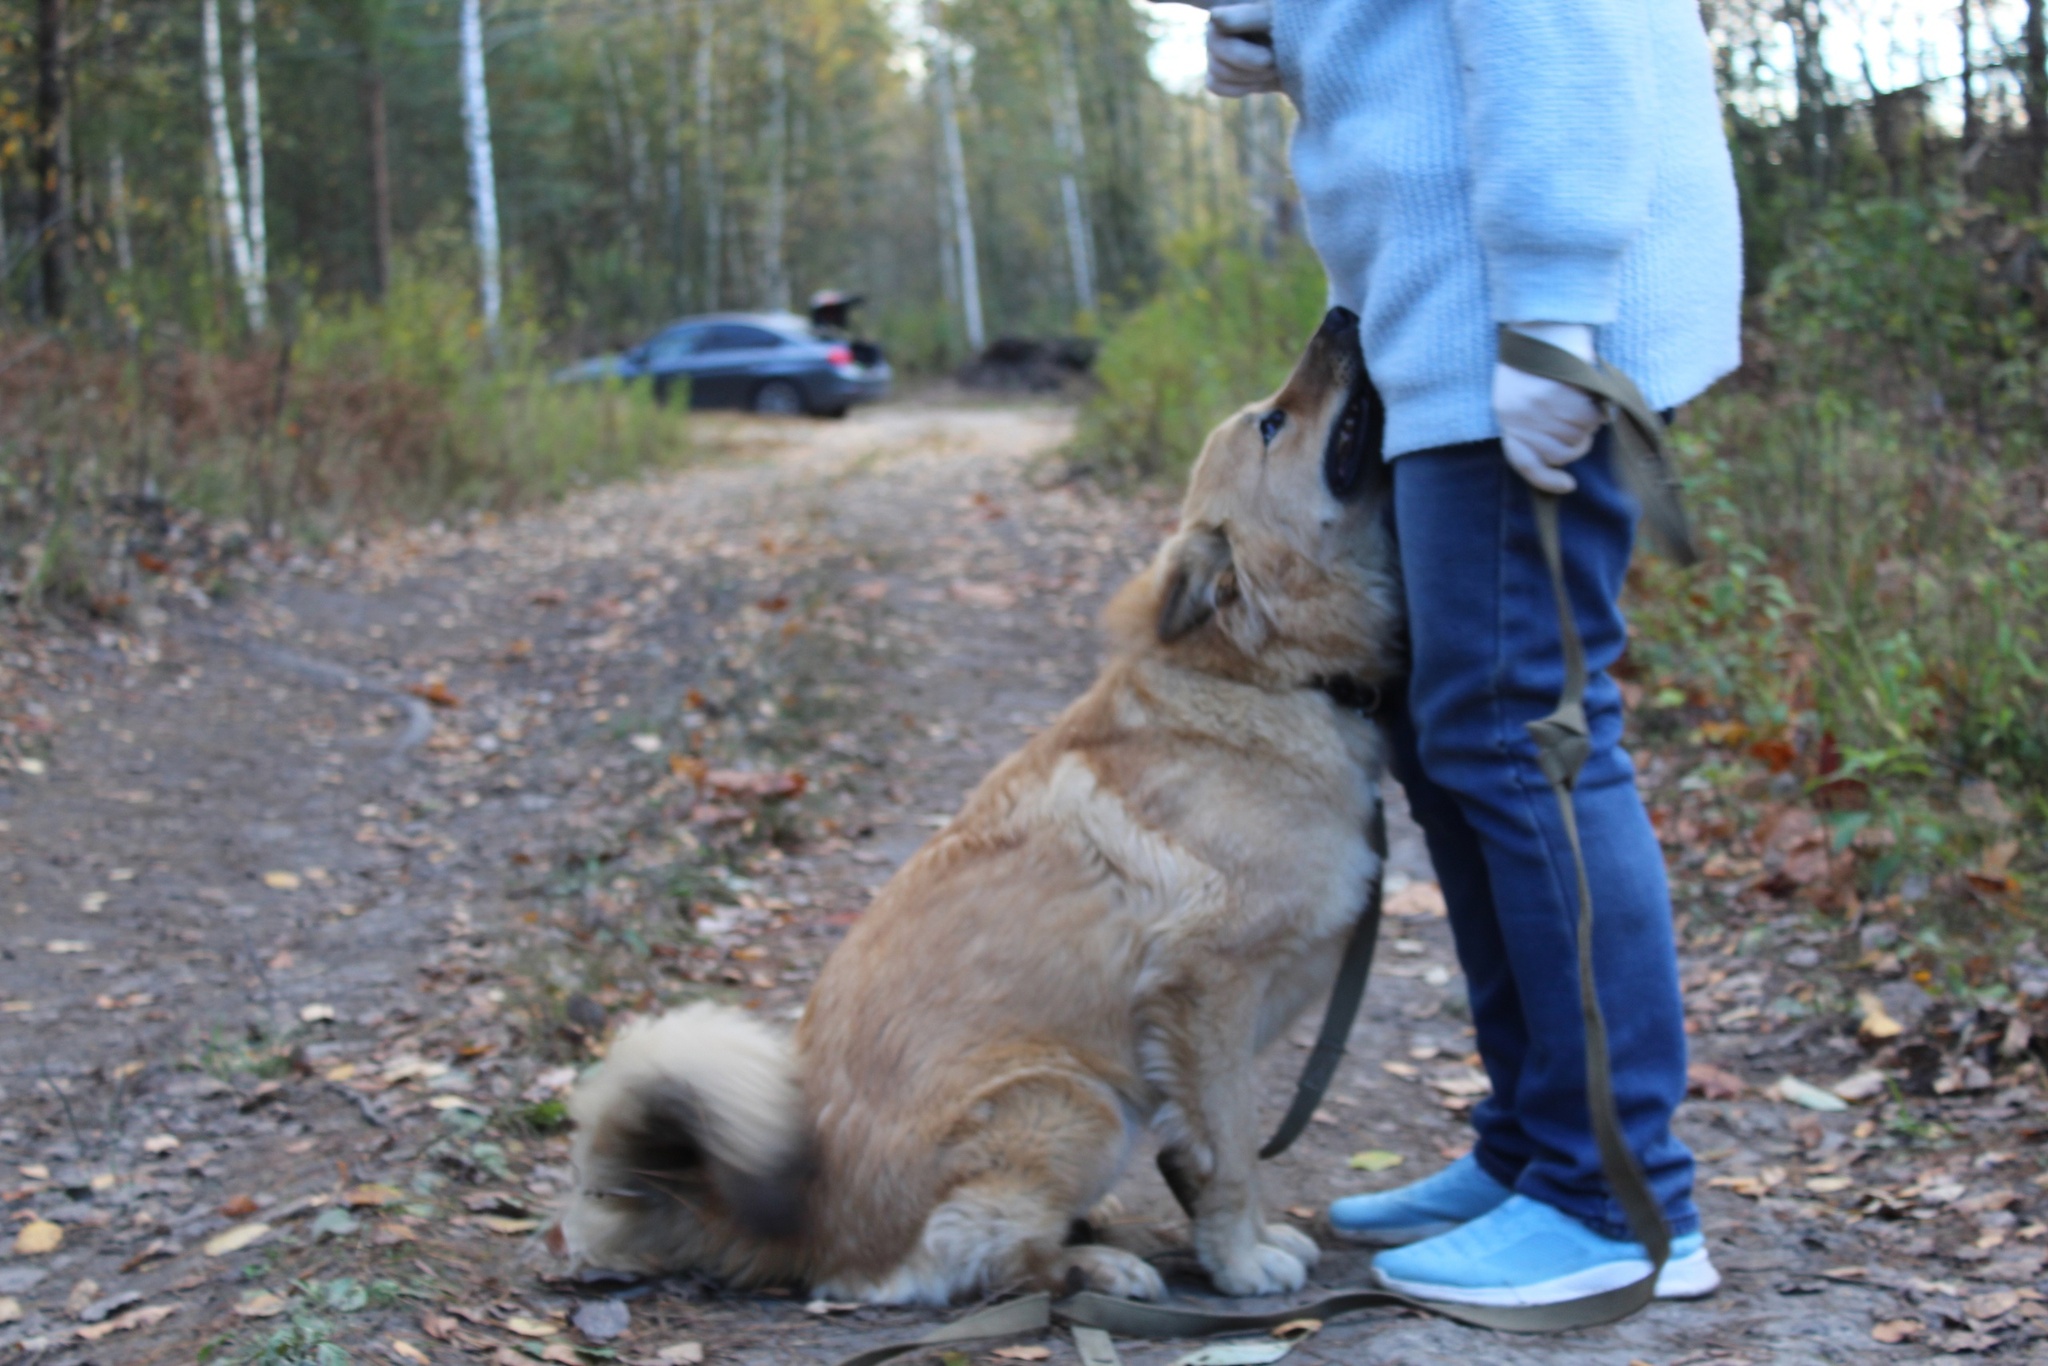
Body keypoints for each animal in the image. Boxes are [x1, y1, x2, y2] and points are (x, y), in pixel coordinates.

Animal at [561, 309, 1409, 1302]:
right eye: (1272, 424)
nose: (1343, 315)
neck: (1265, 675)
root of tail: (804, 1226)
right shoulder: (1207, 994)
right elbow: (1230, 1152)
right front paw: (1240, 1261)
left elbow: (1198, 1156)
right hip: (1074, 1099)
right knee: (988, 1260)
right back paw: (1097, 1264)